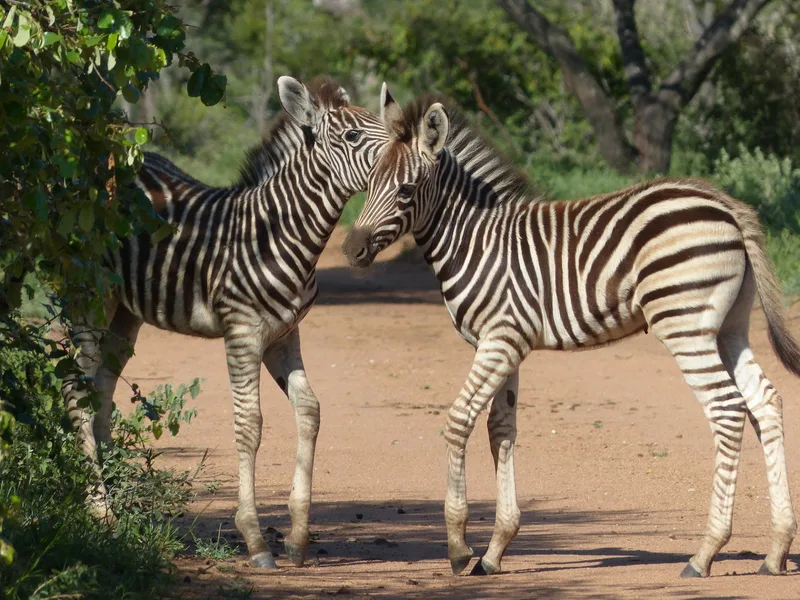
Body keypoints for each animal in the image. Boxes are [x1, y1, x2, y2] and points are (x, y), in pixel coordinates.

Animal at [62, 76, 389, 569]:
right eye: (352, 136)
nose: (419, 161)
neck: (280, 232)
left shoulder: (285, 335)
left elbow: (309, 410)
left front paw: (297, 537)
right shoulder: (242, 333)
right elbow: (249, 424)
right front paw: (255, 539)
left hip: (124, 311)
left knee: (100, 392)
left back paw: (118, 501)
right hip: (90, 297)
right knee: (76, 393)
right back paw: (102, 513)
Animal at [342, 88, 799, 578]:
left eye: (406, 190)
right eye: (368, 182)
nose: (351, 249)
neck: (475, 240)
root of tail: (725, 203)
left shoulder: (499, 340)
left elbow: (460, 420)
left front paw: (459, 547)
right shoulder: (505, 343)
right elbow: (500, 430)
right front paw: (495, 549)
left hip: (685, 325)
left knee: (728, 410)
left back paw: (705, 553)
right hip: (730, 327)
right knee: (765, 403)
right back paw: (776, 550)